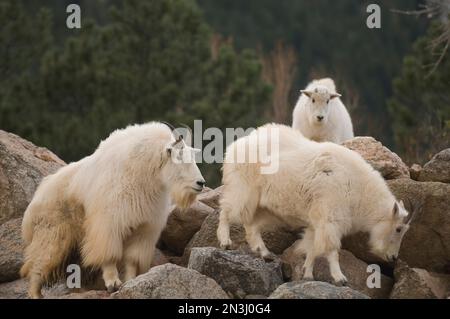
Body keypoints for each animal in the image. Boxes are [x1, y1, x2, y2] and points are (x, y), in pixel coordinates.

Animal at [20, 121, 205, 298]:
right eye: (179, 156)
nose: (200, 183)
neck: (144, 172)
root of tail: (37, 198)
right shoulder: (109, 223)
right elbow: (109, 254)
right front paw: (113, 283)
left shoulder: (143, 228)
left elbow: (132, 259)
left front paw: (130, 281)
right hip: (52, 233)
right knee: (38, 264)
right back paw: (35, 293)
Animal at [218, 124, 412, 284]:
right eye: (398, 229)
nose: (392, 257)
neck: (359, 188)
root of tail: (235, 146)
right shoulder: (330, 218)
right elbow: (330, 249)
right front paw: (340, 278)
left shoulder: (316, 222)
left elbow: (312, 248)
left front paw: (307, 274)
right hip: (243, 188)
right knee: (227, 211)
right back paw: (225, 241)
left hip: (266, 207)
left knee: (251, 225)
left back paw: (264, 253)